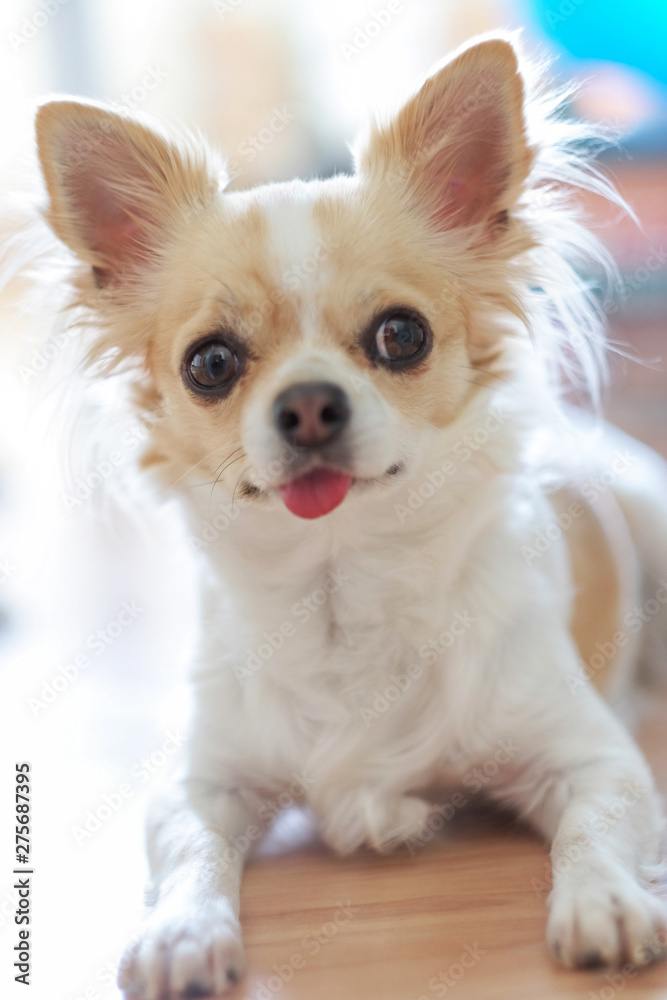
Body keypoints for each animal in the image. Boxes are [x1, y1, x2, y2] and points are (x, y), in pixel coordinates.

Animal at [19, 33, 667, 1000]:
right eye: (210, 363)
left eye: (401, 335)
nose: (309, 405)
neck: (339, 586)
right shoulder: (200, 786)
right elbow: (189, 849)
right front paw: (180, 932)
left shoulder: (595, 760)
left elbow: (595, 826)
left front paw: (605, 902)